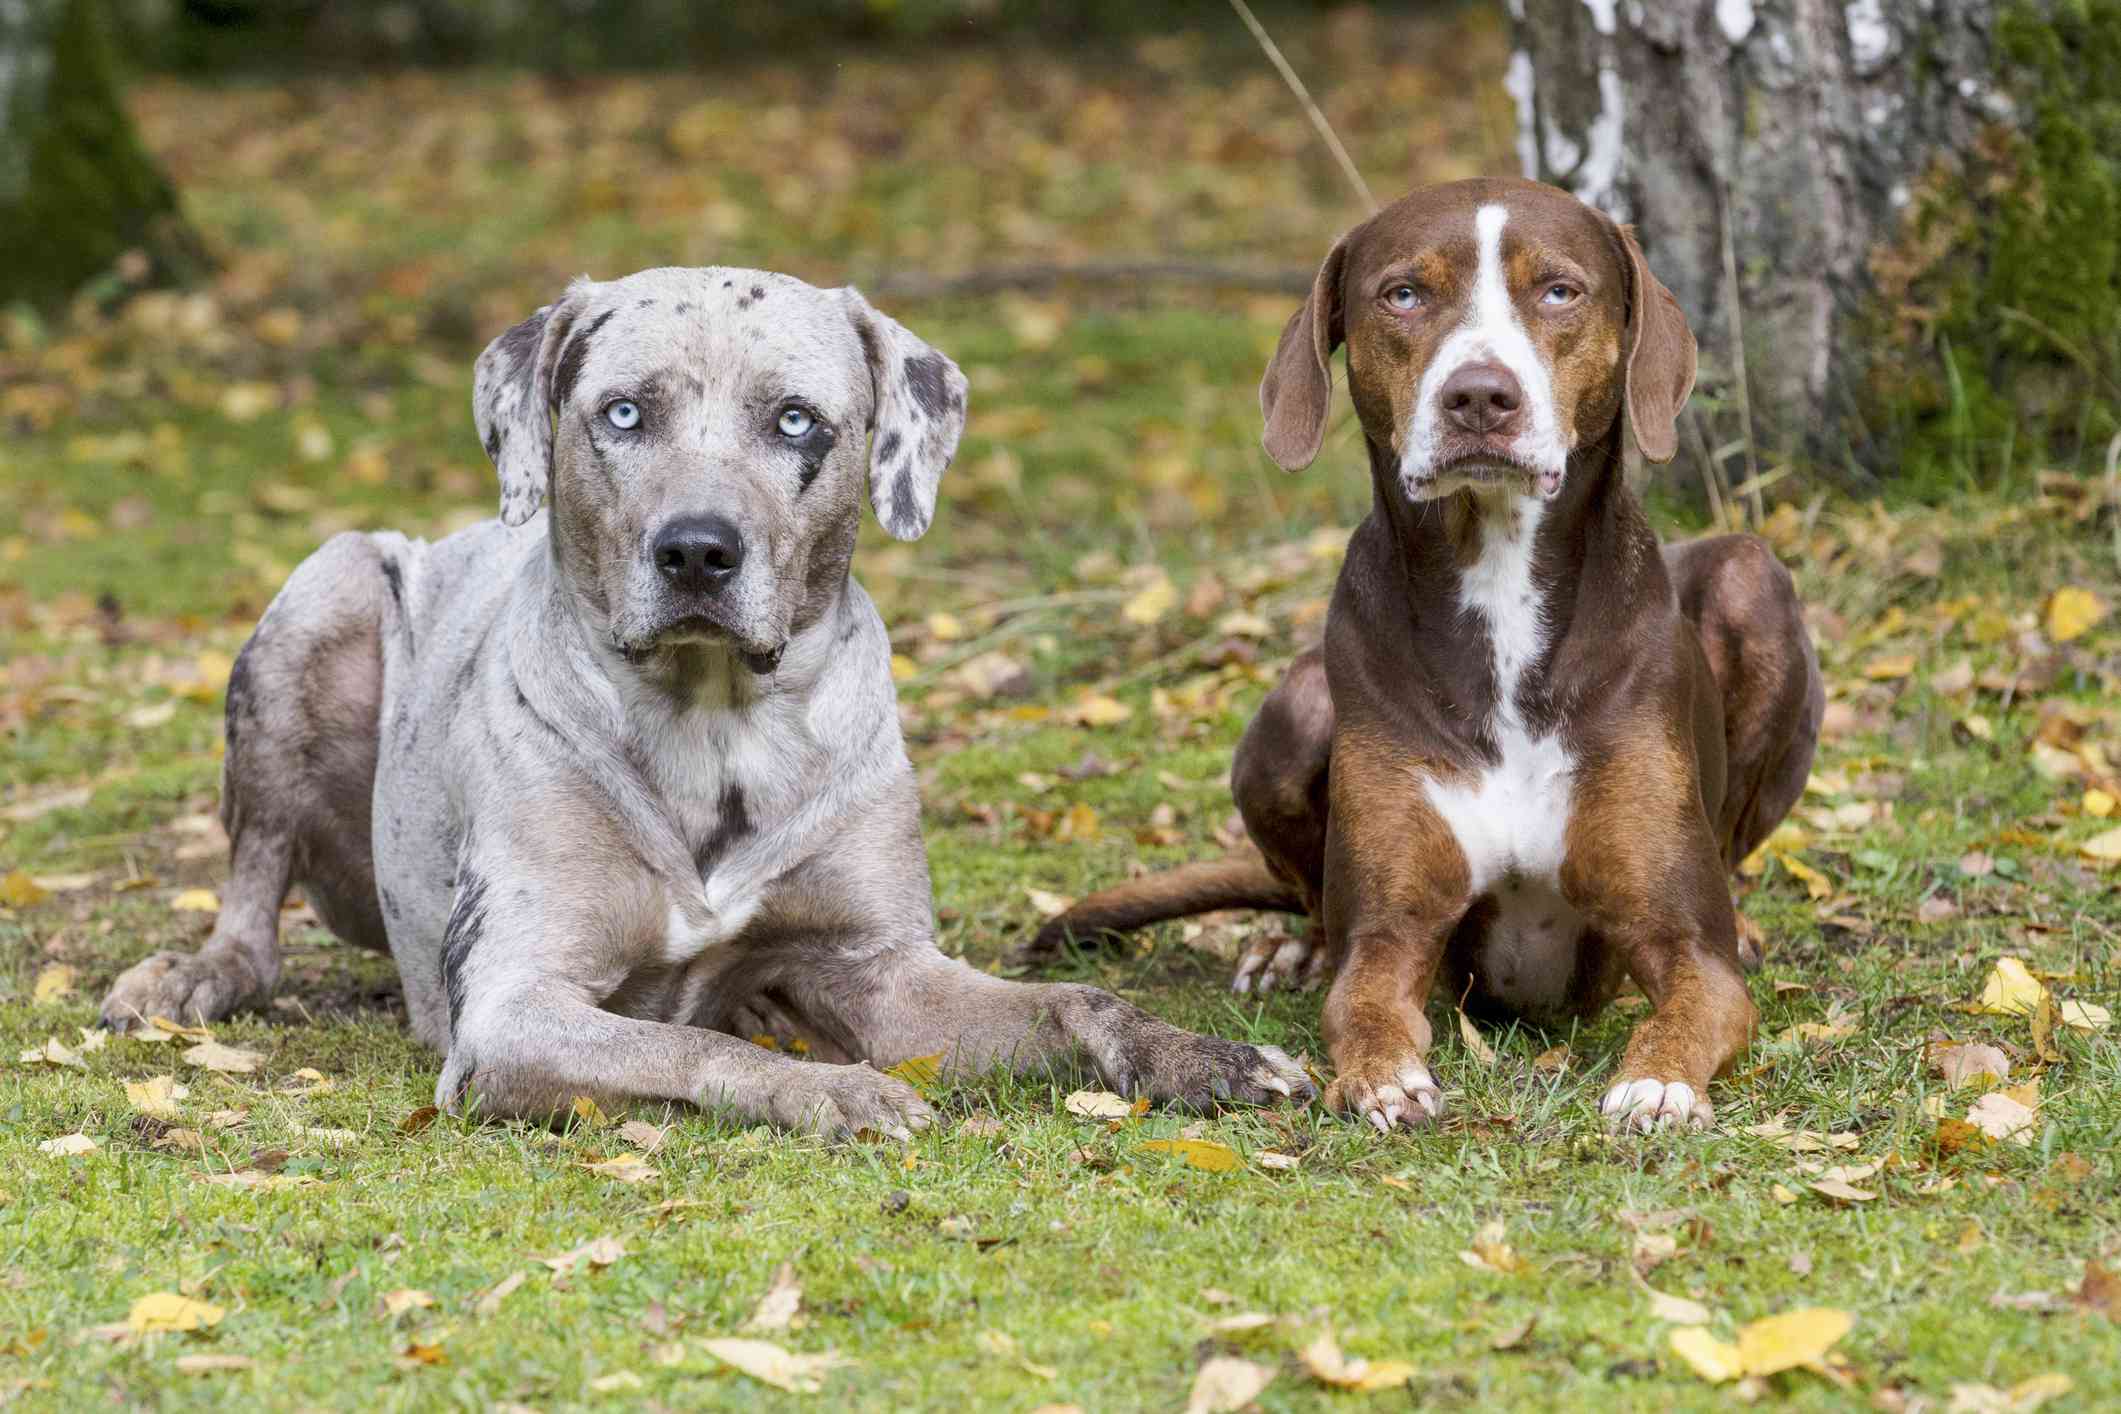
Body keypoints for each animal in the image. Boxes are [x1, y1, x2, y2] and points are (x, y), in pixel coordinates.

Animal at [111, 268, 1323, 1136]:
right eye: (622, 413)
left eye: (795, 421)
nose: (697, 548)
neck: (717, 725)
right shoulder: (511, 1007)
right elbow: (694, 1047)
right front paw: (836, 1091)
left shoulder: (880, 970)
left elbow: (1075, 1003)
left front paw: (1201, 1056)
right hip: (325, 593)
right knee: (254, 895)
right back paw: (188, 975)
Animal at [1009, 177, 1824, 1136]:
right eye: (1402, 294)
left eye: (1559, 291)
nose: (1479, 397)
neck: (1497, 582)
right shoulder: (1391, 931)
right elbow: (1362, 1002)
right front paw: (1382, 1077)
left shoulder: (1682, 939)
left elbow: (1691, 1004)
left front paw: (1657, 1083)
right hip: (1294, 713)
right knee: (1310, 895)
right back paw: (1293, 949)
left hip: (1749, 577)